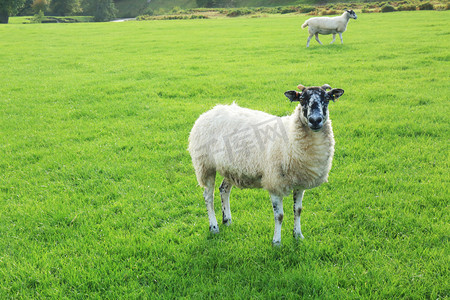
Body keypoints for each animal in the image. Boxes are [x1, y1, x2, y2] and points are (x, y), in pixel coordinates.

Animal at [186, 83, 344, 245]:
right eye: (301, 100)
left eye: (327, 99)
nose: (315, 120)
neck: (290, 135)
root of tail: (211, 111)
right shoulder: (274, 182)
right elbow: (279, 216)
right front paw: (277, 242)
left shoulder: (300, 182)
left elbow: (298, 210)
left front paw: (298, 235)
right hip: (205, 166)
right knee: (208, 196)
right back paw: (214, 226)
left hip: (230, 168)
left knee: (224, 190)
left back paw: (227, 220)